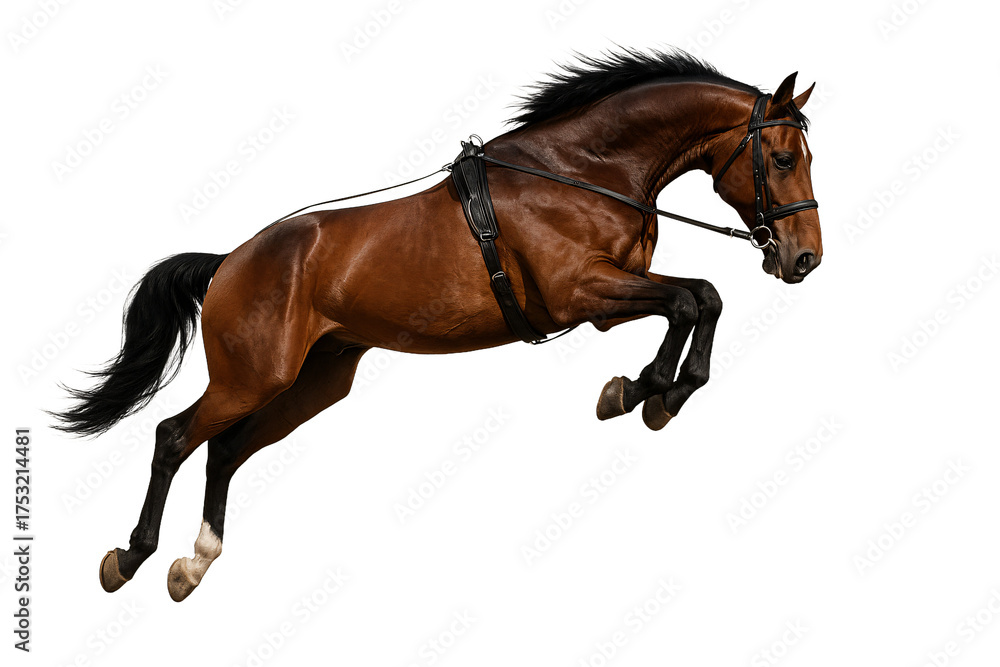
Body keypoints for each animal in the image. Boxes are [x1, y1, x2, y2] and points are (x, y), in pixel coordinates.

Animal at [53, 49, 822, 602]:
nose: (804, 258)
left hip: (312, 382)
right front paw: (642, 392)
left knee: (224, 448)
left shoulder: (607, 304)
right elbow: (695, 299)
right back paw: (130, 558)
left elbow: (699, 298)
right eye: (783, 158)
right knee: (174, 436)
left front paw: (651, 394)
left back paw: (195, 564)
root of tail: (230, 262)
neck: (582, 171)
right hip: (253, 375)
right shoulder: (579, 292)